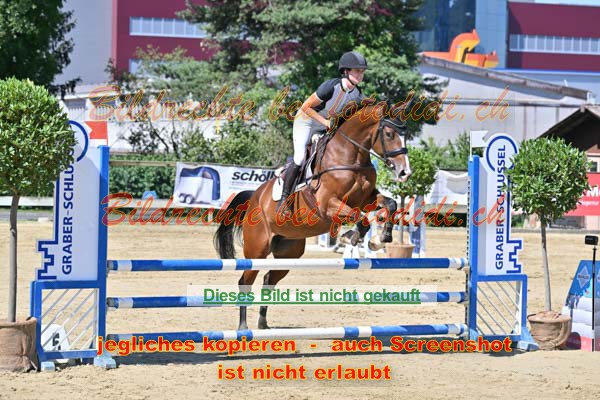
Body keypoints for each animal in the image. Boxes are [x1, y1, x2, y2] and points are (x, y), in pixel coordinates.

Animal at [213, 104, 411, 330]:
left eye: (405, 135)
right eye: (389, 134)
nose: (405, 172)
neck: (350, 157)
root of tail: (255, 197)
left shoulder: (366, 199)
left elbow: (390, 204)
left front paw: (381, 239)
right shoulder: (327, 204)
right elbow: (358, 217)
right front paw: (350, 237)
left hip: (289, 253)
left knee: (269, 279)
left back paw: (263, 324)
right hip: (257, 250)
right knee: (245, 281)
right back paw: (243, 327)